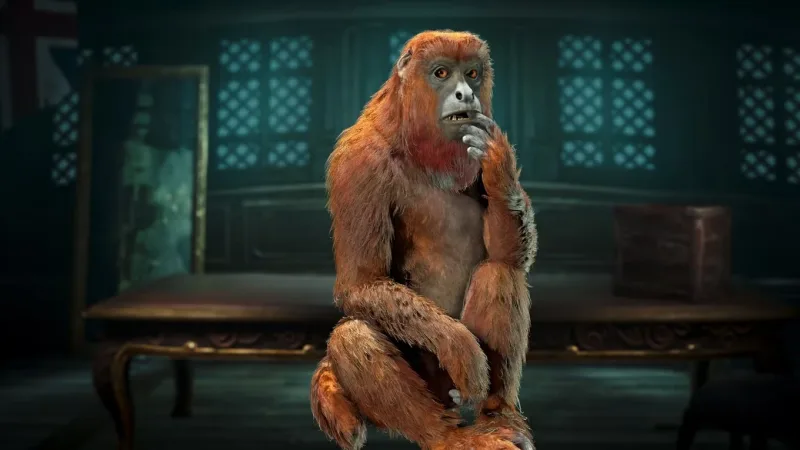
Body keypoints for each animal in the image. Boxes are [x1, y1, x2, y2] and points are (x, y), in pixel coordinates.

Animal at [310, 30, 538, 450]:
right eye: (441, 73)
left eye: (472, 73)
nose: (466, 93)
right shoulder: (358, 162)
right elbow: (361, 282)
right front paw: (461, 349)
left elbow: (508, 252)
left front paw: (498, 164)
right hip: (438, 388)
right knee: (352, 336)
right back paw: (447, 435)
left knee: (500, 271)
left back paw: (498, 413)